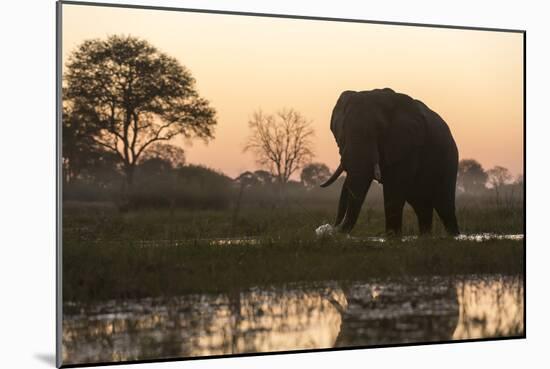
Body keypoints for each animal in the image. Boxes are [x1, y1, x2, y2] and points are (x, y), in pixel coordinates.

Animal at [324, 87, 462, 234]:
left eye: (379, 129)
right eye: (343, 129)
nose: (331, 227)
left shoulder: (408, 147)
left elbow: (393, 191)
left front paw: (392, 236)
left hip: (449, 160)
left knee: (444, 206)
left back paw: (453, 235)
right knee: (422, 206)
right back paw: (425, 236)